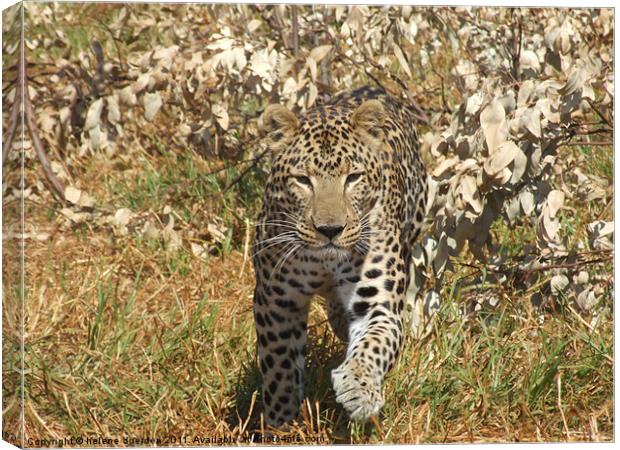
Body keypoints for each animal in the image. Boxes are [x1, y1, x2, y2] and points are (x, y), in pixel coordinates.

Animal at [251, 86, 426, 428]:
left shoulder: (378, 305)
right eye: (303, 180)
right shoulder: (275, 301)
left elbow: (373, 345)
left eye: (354, 177)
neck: (325, 263)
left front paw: (359, 389)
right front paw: (281, 421)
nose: (330, 229)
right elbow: (279, 366)